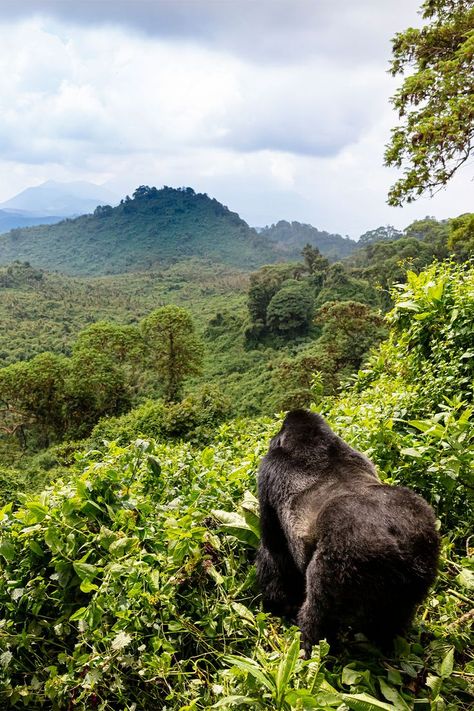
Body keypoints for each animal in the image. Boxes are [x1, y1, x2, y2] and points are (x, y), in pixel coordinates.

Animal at [256, 408, 440, 652]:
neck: (312, 441)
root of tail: (397, 543)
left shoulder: (267, 471)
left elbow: (273, 549)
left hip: (344, 559)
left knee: (318, 615)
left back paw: (310, 647)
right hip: (424, 550)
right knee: (395, 616)